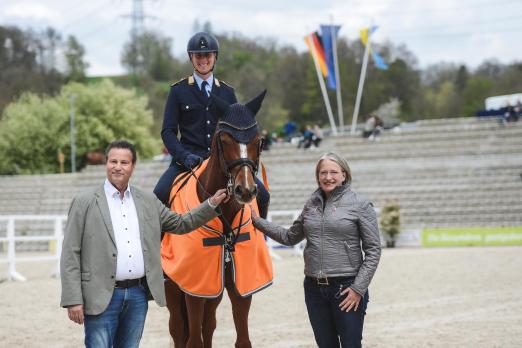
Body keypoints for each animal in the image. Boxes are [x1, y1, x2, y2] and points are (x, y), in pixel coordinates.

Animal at [159, 90, 272, 348]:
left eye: (257, 140)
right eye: (225, 140)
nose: (245, 190)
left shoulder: (239, 285)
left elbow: (242, 339)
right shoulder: (194, 287)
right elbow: (193, 340)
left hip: (214, 288)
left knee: (208, 325)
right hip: (174, 287)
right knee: (178, 329)